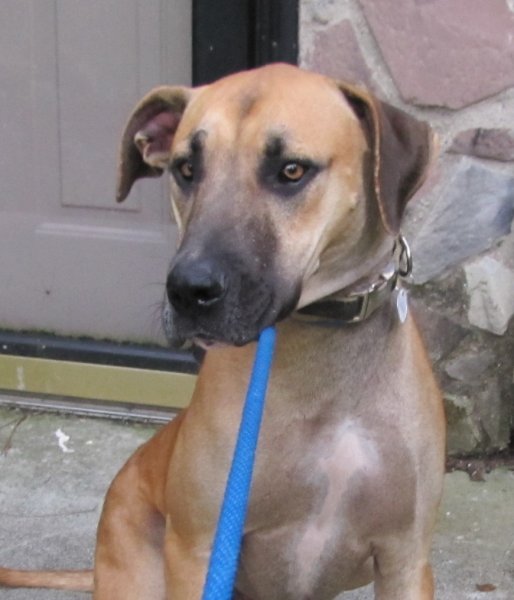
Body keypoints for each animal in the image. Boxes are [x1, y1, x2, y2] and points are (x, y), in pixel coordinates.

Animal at [0, 63, 445, 599]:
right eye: (186, 169)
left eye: (292, 170)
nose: (187, 290)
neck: (320, 353)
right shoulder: (199, 548)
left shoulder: (406, 560)